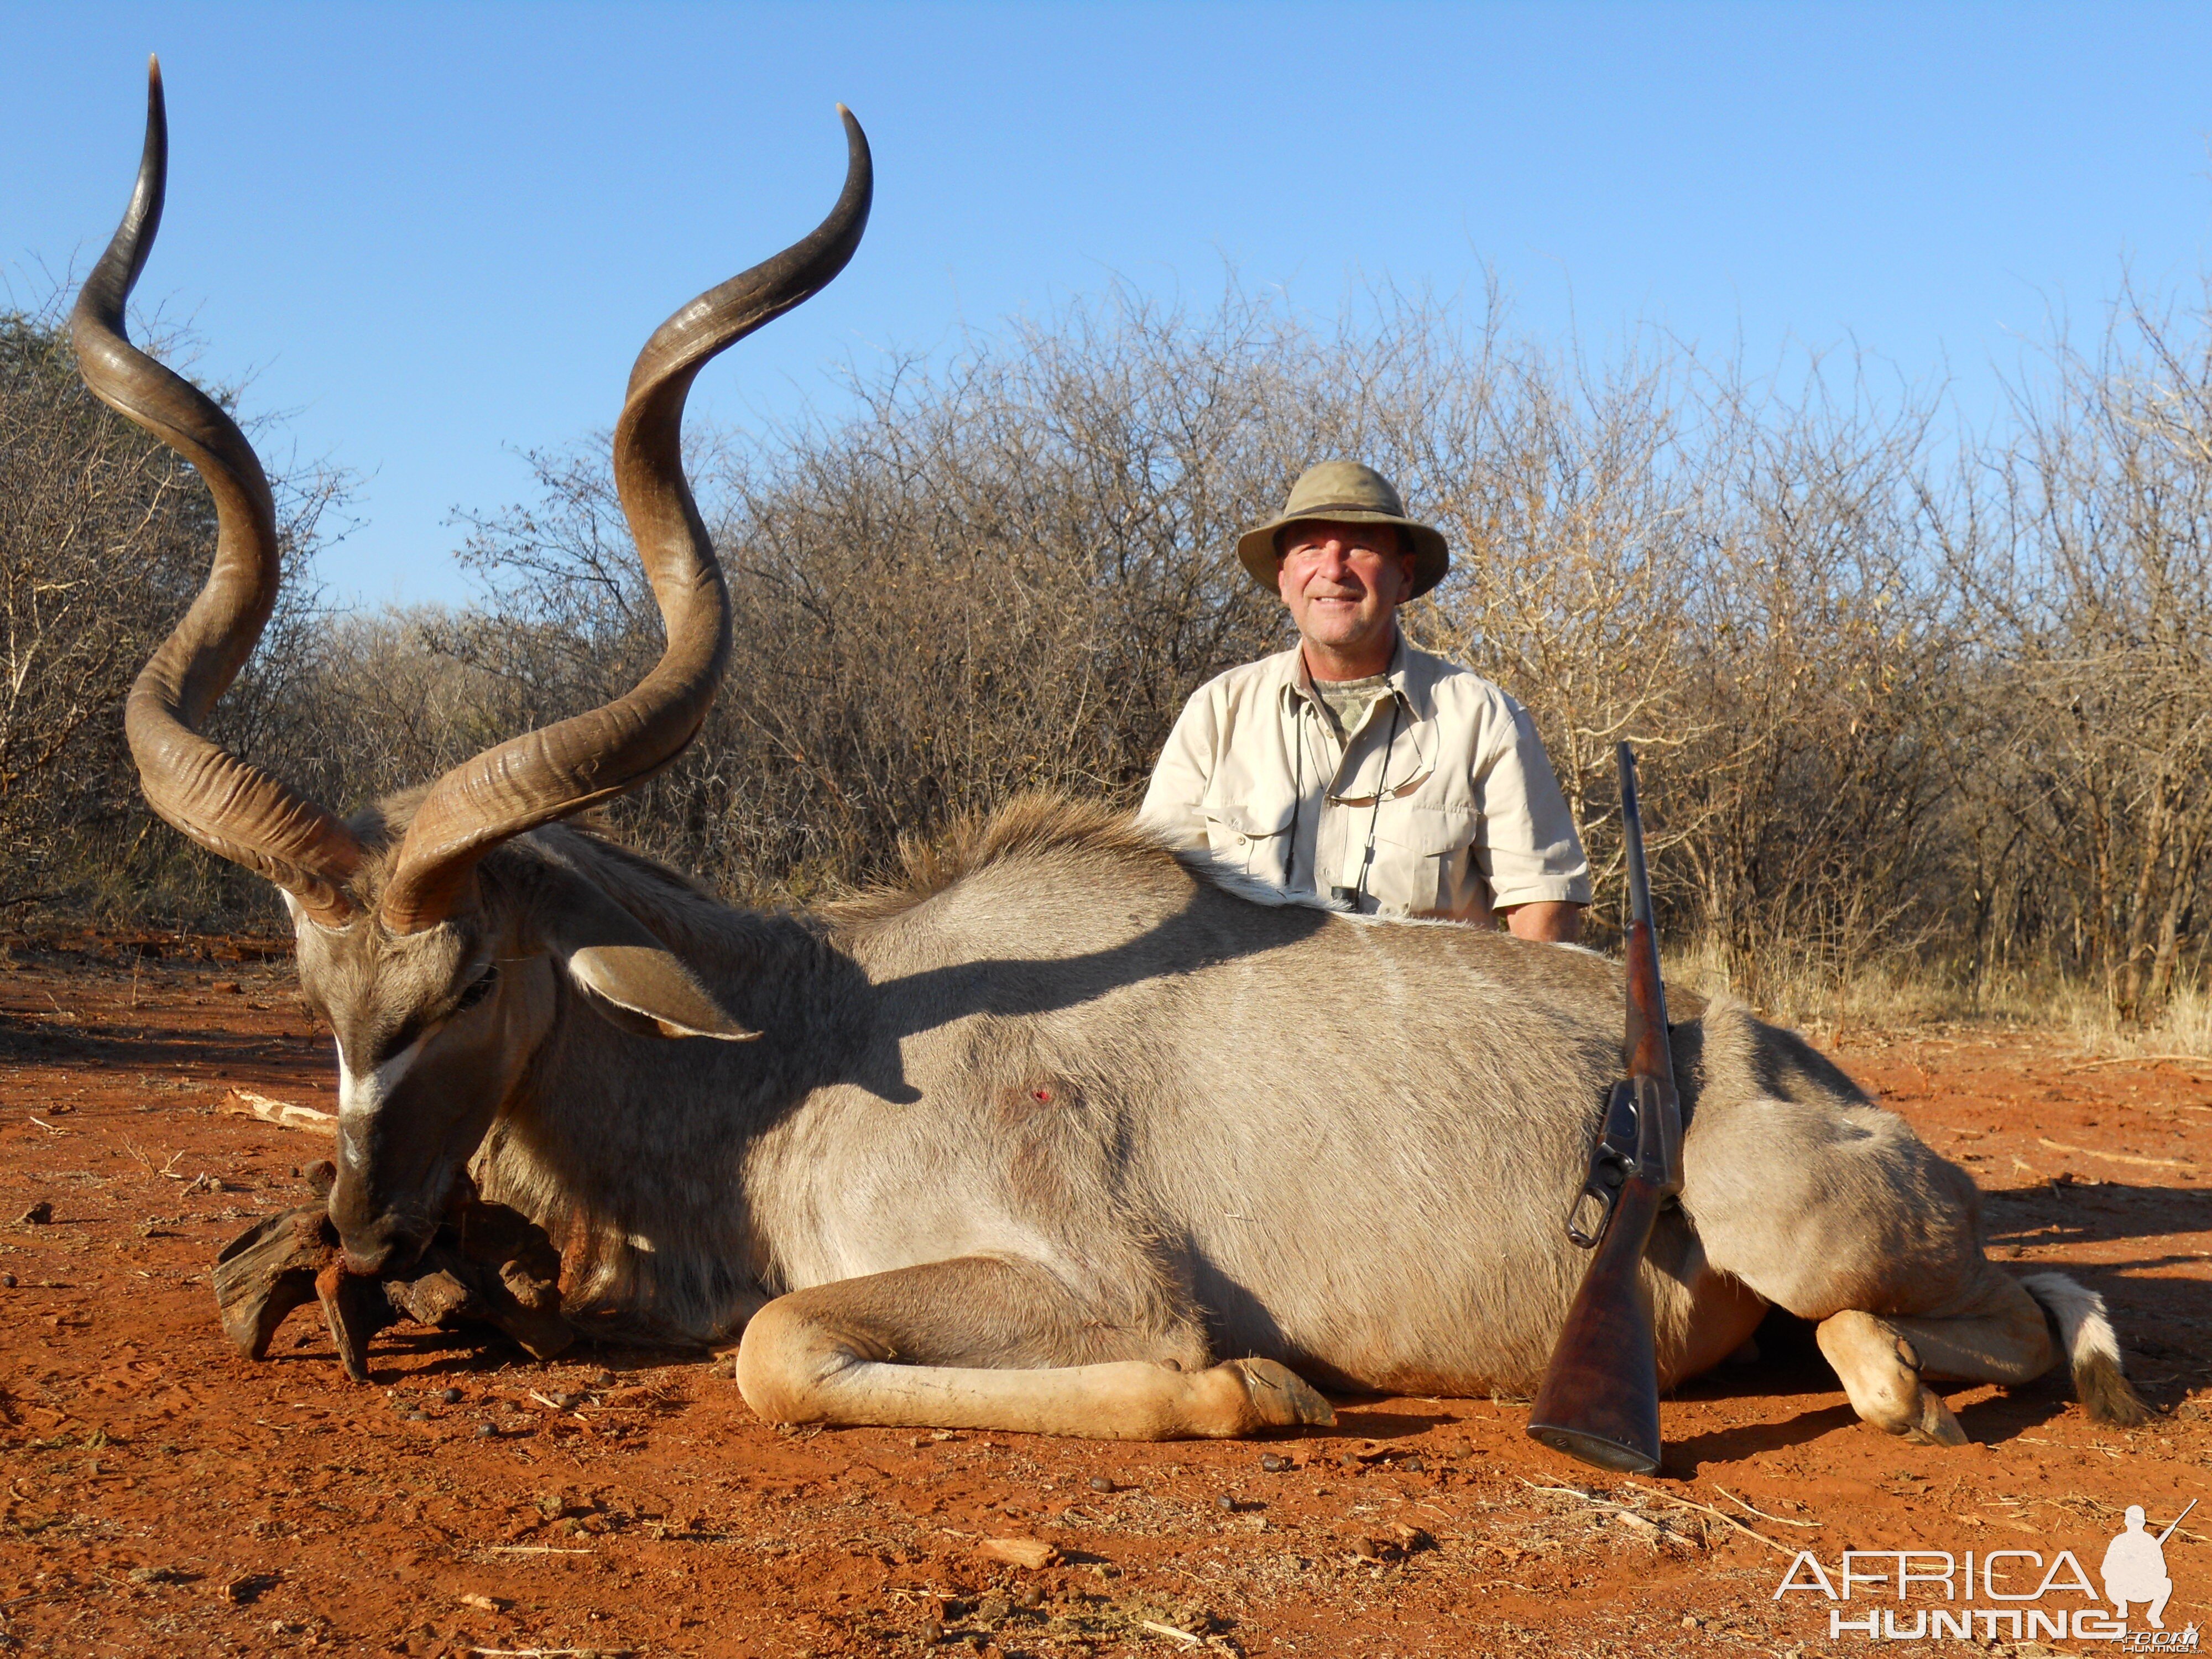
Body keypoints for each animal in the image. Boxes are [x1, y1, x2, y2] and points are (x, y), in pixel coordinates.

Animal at [78, 61, 2150, 1442]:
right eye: (318, 983)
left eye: (472, 976)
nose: (361, 1223)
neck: (803, 1035)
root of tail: (1832, 1084)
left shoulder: (1085, 1284)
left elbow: (793, 1350)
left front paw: (1266, 1391)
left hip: (1809, 1236)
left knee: (1976, 1336)